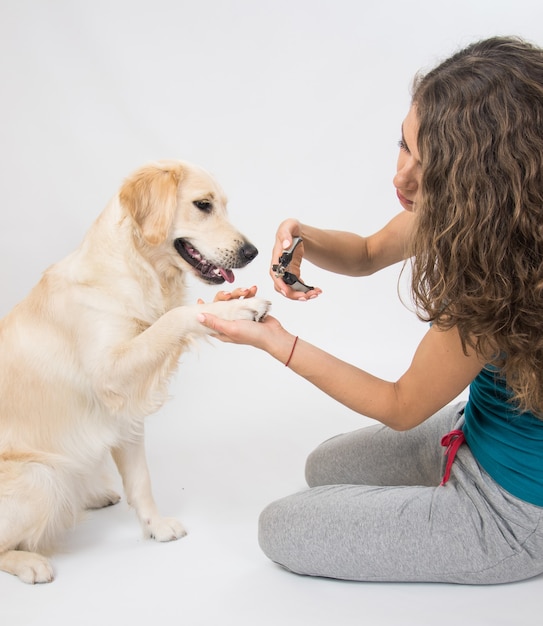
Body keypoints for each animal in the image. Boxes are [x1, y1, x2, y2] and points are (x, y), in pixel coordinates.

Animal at [0, 160, 270, 580]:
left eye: (225, 205)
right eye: (203, 205)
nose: (252, 252)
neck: (135, 270)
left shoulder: (126, 410)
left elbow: (141, 480)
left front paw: (156, 528)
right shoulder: (112, 374)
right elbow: (176, 317)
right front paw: (233, 309)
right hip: (39, 477)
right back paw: (30, 562)